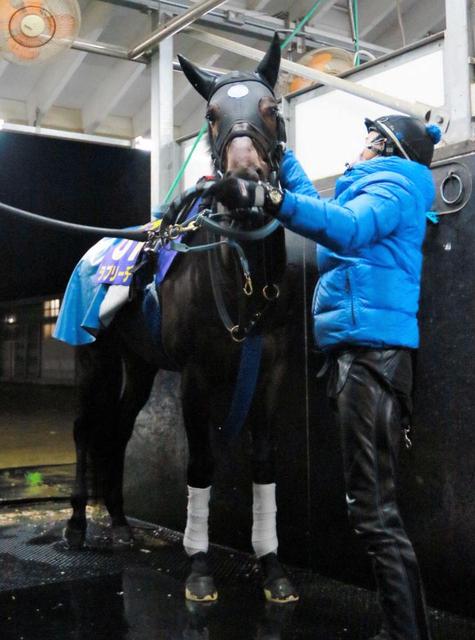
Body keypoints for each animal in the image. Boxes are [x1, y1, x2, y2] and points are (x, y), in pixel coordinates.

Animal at [61, 33, 299, 604]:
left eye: (271, 108)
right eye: (211, 114)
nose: (245, 183)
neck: (242, 277)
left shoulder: (271, 369)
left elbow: (263, 461)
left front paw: (272, 566)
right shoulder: (197, 375)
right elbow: (201, 462)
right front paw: (199, 566)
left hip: (141, 365)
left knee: (120, 427)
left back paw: (120, 522)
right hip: (95, 360)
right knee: (85, 428)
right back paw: (77, 524)